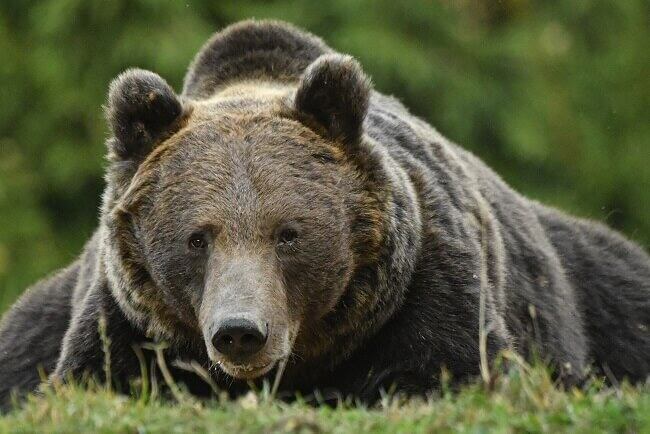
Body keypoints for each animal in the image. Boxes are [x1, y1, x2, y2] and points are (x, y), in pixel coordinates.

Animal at [1, 20, 648, 410]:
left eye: (288, 233)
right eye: (196, 238)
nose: (240, 331)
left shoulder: (431, 281)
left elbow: (447, 368)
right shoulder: (123, 318)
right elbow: (97, 378)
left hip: (591, 290)